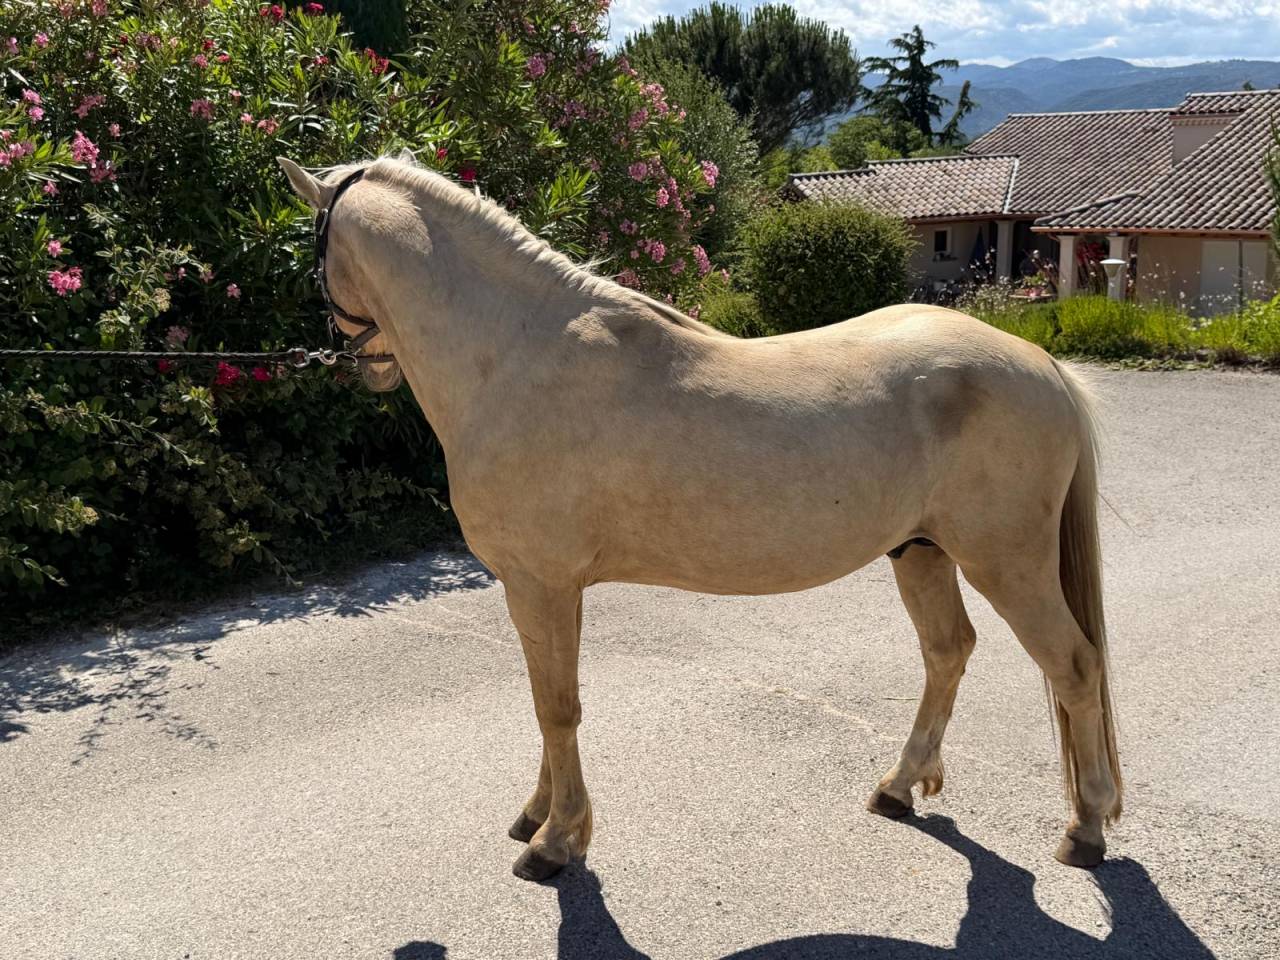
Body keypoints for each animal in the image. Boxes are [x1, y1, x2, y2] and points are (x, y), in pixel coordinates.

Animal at [278, 154, 1123, 882]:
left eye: (313, 259)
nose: (364, 365)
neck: (517, 356)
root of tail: (1043, 366)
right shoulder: (551, 589)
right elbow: (554, 703)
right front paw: (539, 816)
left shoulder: (538, 583)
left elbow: (556, 706)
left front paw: (556, 844)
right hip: (919, 551)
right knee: (948, 652)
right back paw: (897, 786)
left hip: (1006, 564)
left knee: (1074, 667)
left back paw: (1085, 828)